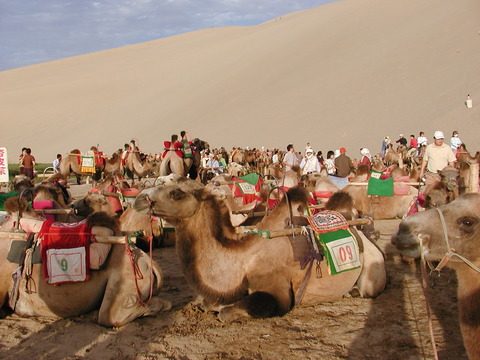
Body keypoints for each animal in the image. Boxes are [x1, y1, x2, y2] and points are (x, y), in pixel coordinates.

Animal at [132, 179, 386, 322]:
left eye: (176, 193)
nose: (139, 199)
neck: (242, 259)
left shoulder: (277, 292)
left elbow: (227, 313)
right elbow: (208, 303)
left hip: (372, 273)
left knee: (367, 288)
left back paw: (352, 291)